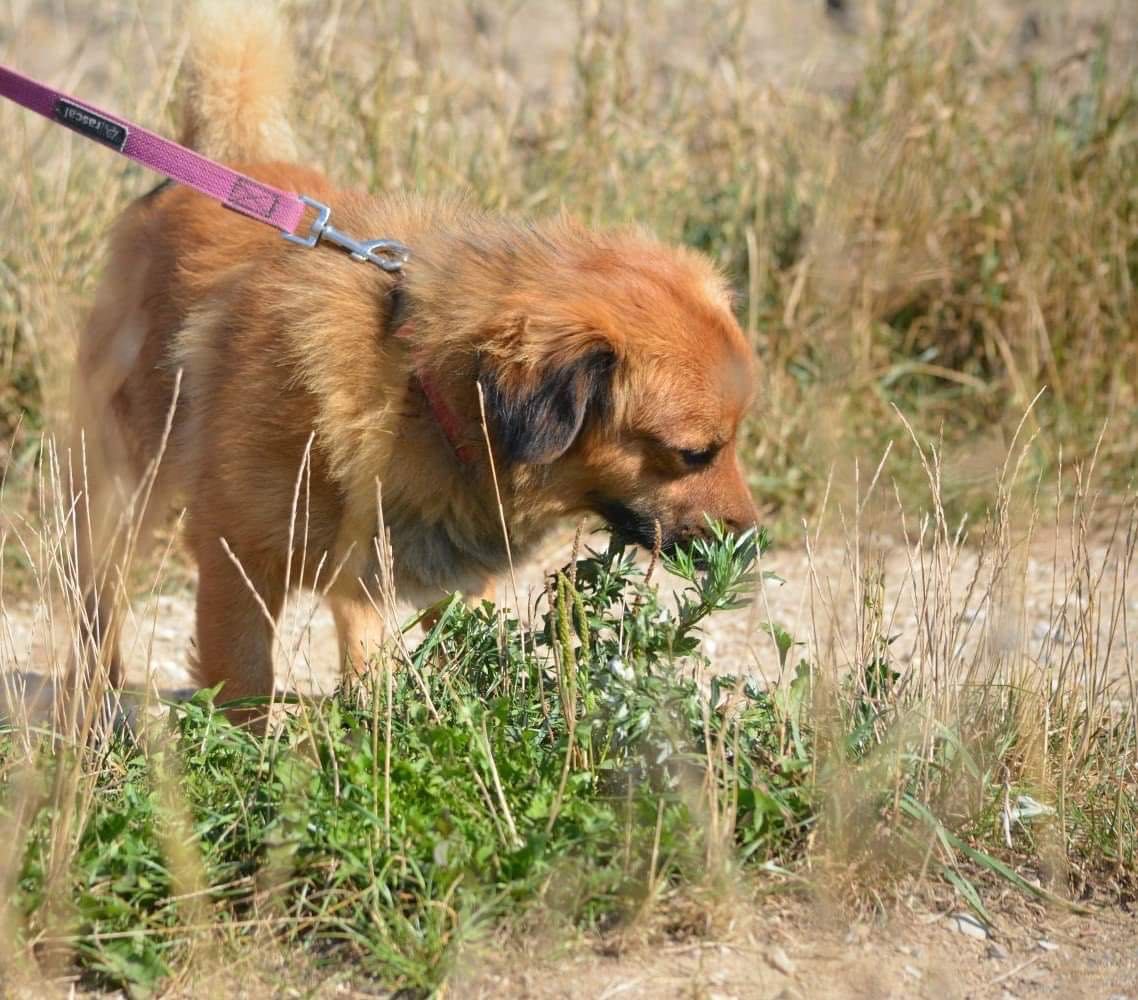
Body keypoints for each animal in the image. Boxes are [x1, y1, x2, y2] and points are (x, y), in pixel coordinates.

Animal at [73, 0, 755, 718]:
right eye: (694, 454)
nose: (752, 542)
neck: (417, 382)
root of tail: (228, 165)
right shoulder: (237, 562)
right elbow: (245, 693)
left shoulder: (449, 577)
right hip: (120, 483)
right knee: (97, 598)